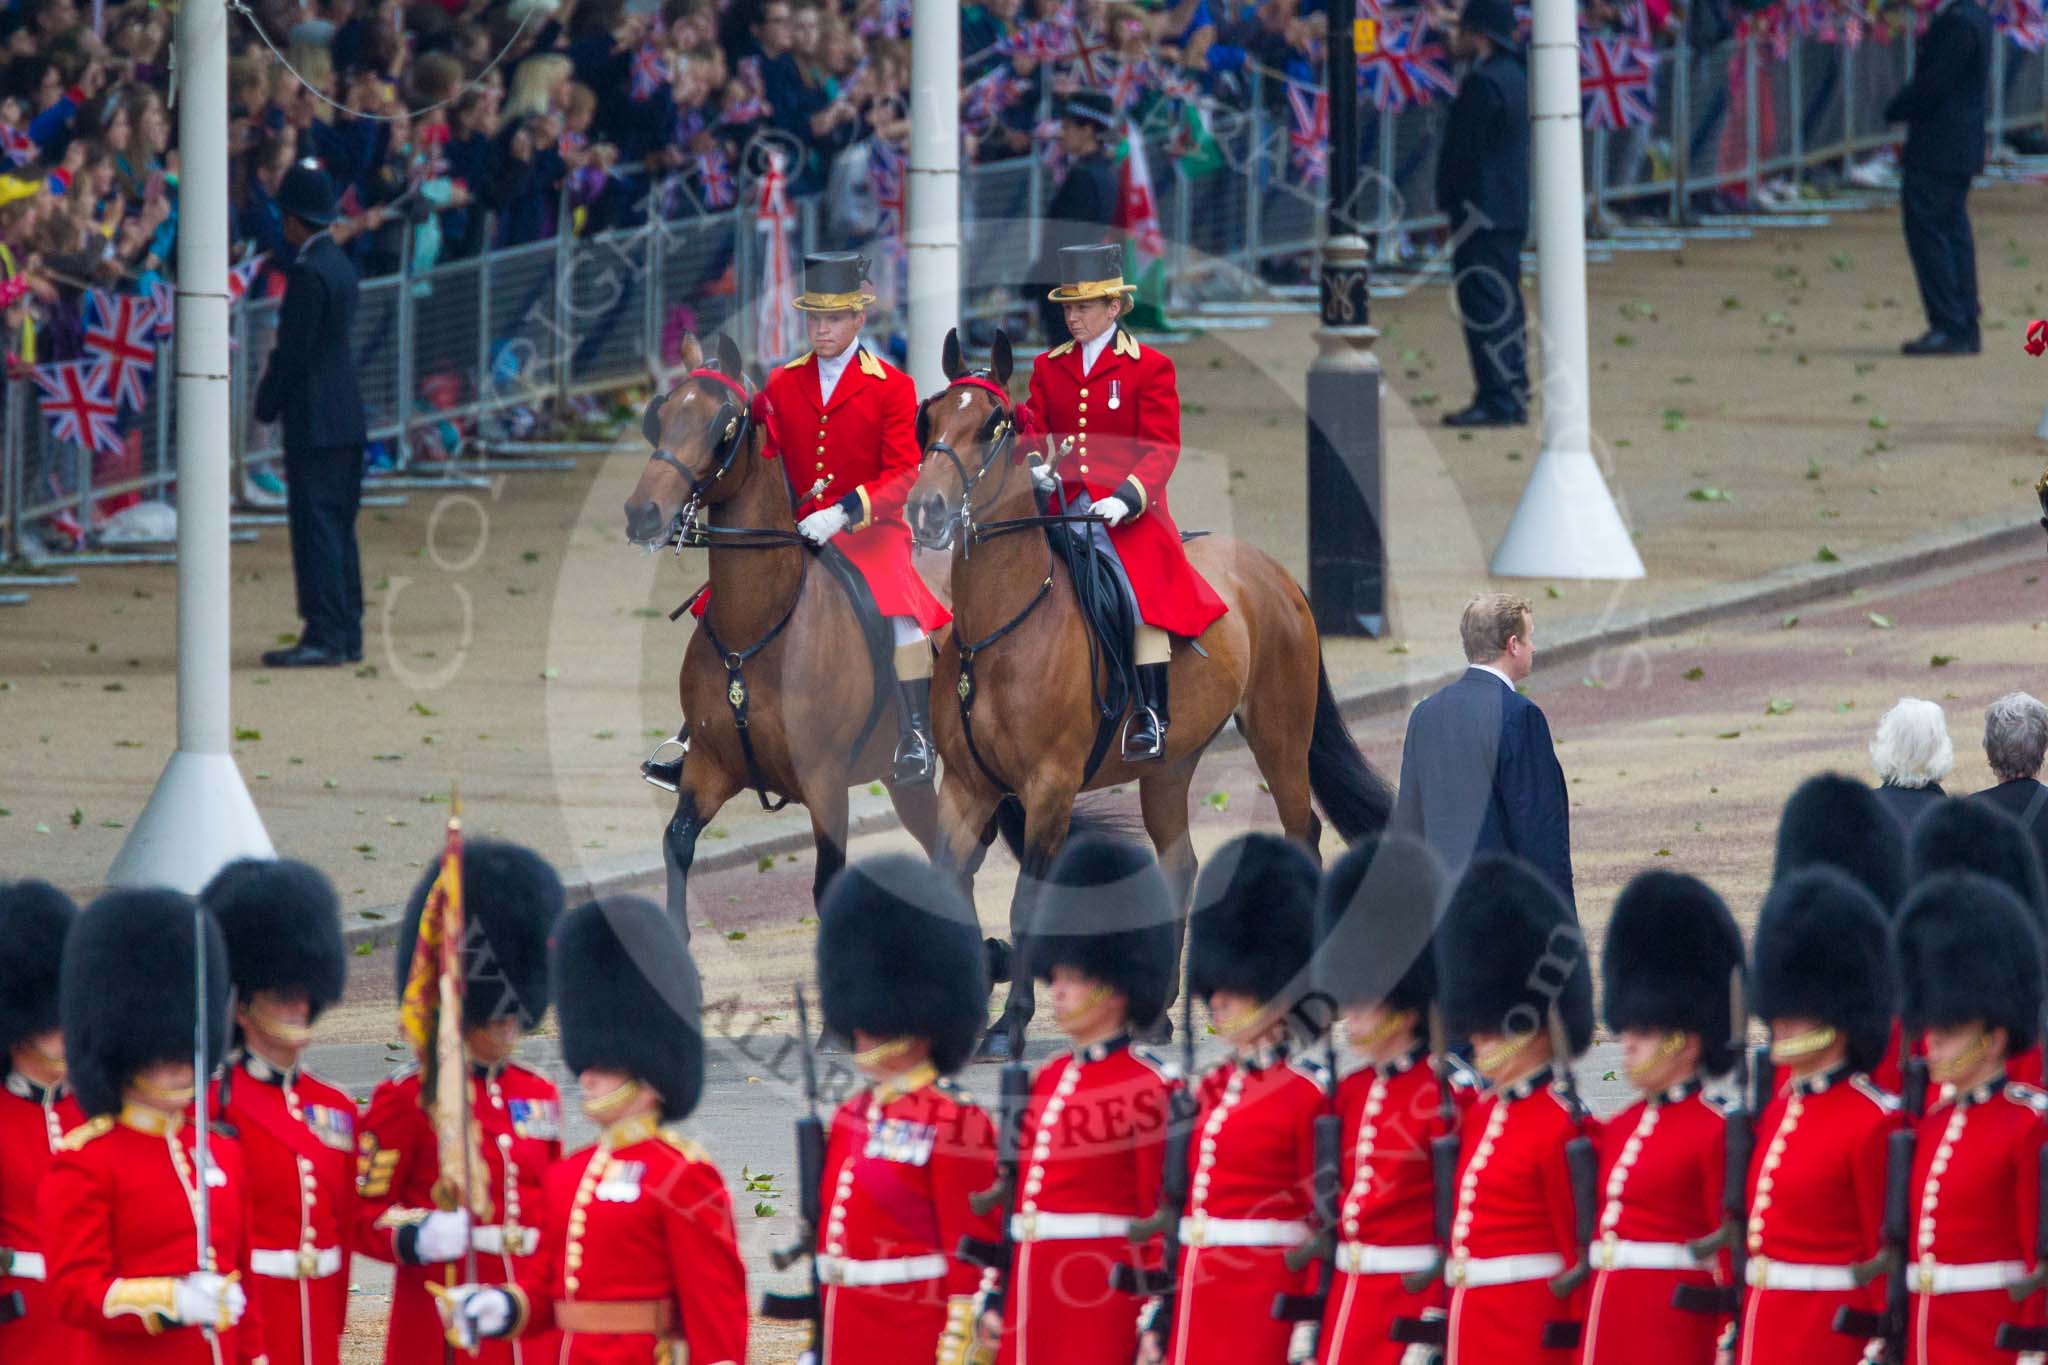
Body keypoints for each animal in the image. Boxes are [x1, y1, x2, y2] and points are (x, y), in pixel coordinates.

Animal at [618, 335, 946, 941]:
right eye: (662, 414)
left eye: (723, 424)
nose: (642, 512)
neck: (759, 625)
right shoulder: (709, 769)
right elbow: (676, 846)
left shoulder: (826, 784)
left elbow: (827, 886)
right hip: (903, 782)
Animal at [909, 331, 1392, 1055]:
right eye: (931, 417)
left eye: (993, 424)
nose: (925, 508)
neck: (997, 629)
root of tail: (1273, 570)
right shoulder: (968, 786)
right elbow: (947, 884)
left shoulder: (1048, 787)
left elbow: (1029, 901)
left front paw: (1011, 1021)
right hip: (1170, 762)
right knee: (1180, 862)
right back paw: (1157, 1010)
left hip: (1280, 735)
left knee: (1301, 832)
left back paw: (1302, 1001)